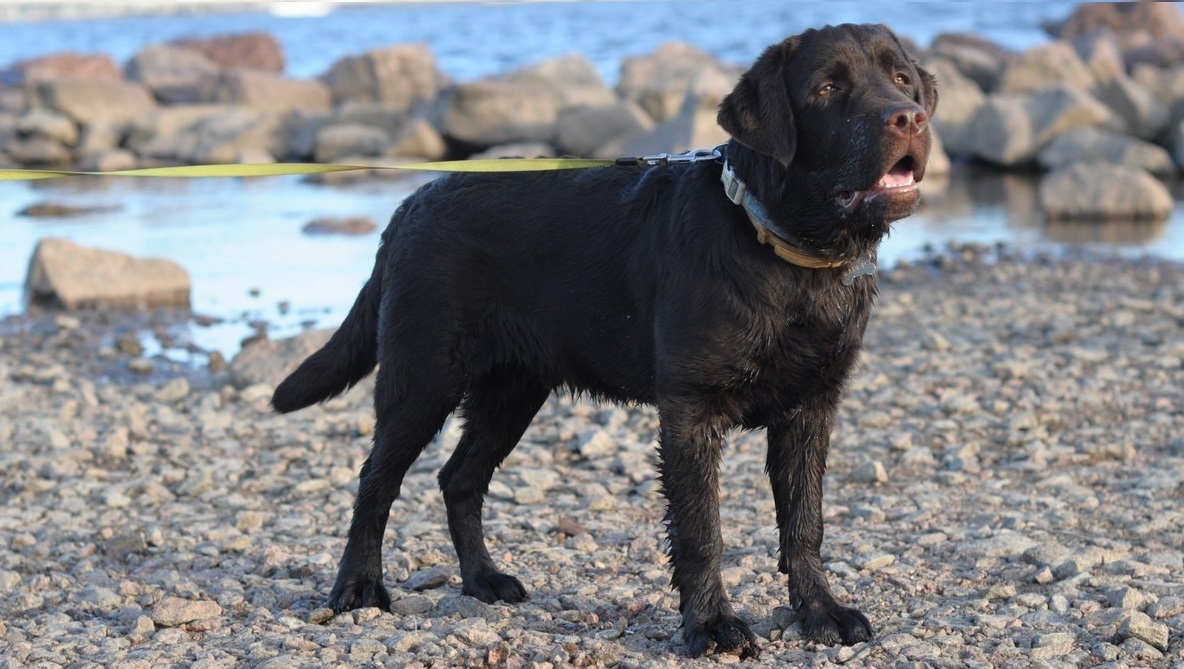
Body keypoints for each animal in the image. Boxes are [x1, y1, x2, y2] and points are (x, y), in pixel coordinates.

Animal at [274, 24, 932, 658]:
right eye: (826, 88)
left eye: (902, 79)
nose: (908, 118)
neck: (781, 249)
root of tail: (411, 205)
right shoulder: (690, 412)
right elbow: (701, 530)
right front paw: (711, 625)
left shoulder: (810, 410)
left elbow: (804, 524)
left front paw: (820, 612)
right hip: (422, 380)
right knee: (376, 481)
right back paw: (359, 586)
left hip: (512, 394)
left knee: (458, 479)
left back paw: (483, 580)